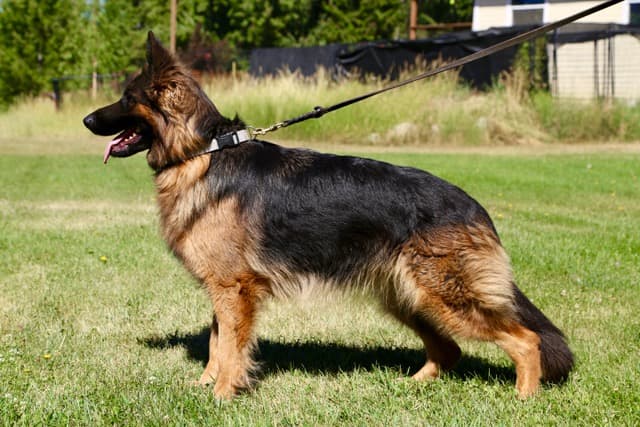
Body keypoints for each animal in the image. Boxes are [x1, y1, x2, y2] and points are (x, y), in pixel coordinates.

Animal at [83, 32, 573, 400]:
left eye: (125, 98)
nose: (87, 120)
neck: (202, 152)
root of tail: (474, 207)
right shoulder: (222, 289)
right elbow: (216, 341)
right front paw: (205, 386)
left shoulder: (232, 289)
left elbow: (230, 346)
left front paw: (222, 395)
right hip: (408, 297)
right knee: (449, 350)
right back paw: (413, 385)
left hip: (443, 296)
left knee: (526, 340)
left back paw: (523, 398)